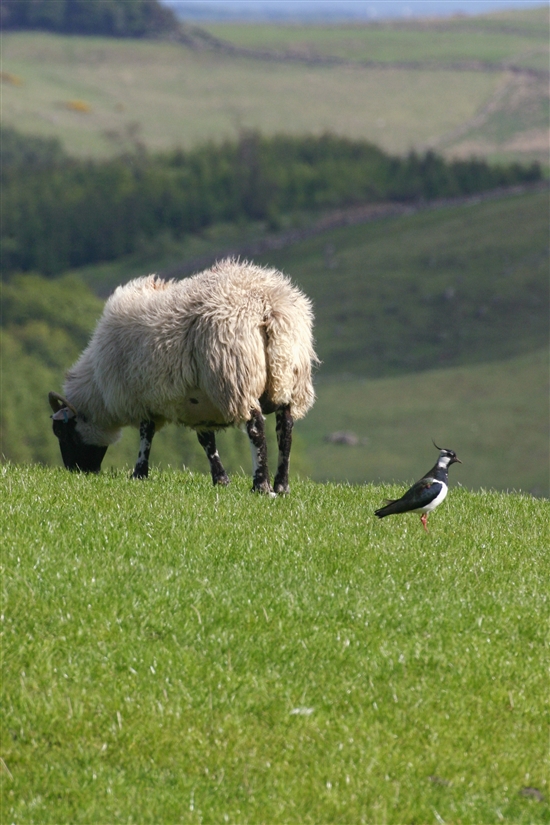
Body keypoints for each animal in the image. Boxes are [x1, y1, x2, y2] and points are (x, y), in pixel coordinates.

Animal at [51, 260, 322, 490]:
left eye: (61, 432)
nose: (77, 470)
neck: (99, 388)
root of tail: (269, 305)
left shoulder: (143, 398)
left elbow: (146, 436)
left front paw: (139, 473)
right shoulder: (199, 400)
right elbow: (207, 441)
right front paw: (220, 480)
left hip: (236, 376)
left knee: (256, 427)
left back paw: (261, 486)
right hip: (290, 377)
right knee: (285, 427)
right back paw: (282, 486)